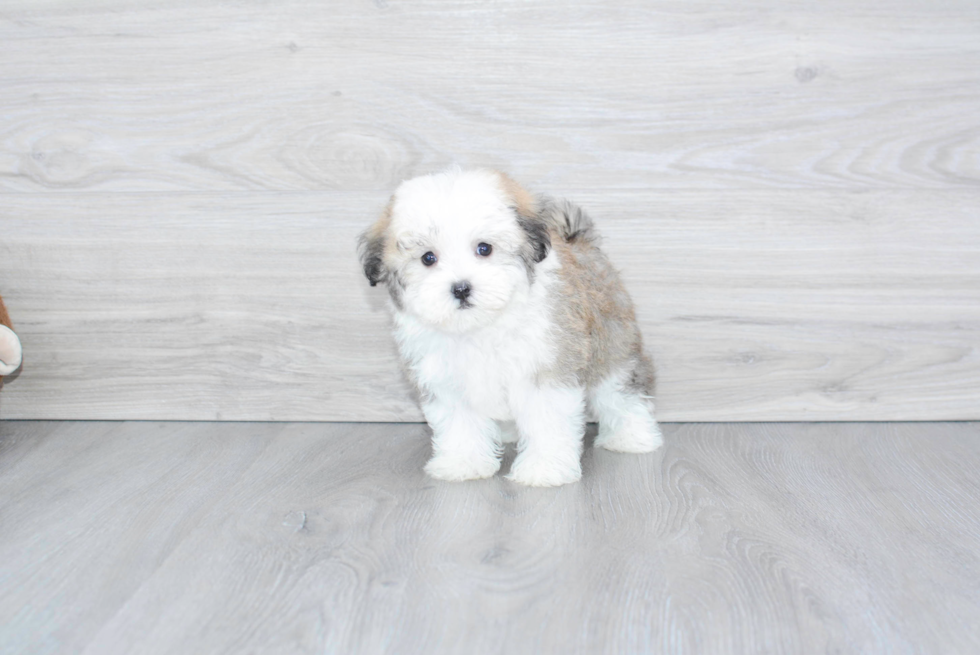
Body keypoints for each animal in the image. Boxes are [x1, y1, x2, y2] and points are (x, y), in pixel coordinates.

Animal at [362, 169, 668, 486]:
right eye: (428, 258)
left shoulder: (546, 367)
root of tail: (579, 242)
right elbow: (460, 424)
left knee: (620, 392)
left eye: (484, 248)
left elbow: (546, 420)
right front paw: (463, 463)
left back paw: (632, 437)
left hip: (611, 343)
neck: (480, 327)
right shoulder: (446, 380)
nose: (461, 288)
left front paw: (545, 468)